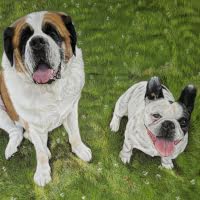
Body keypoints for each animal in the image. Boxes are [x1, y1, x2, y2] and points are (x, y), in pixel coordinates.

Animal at [0, 10, 92, 186]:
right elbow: (40, 151)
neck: (50, 90)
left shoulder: (71, 108)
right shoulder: (33, 123)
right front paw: (42, 173)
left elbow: (75, 133)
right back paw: (12, 149)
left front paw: (81, 150)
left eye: (52, 32)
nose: (36, 42)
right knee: (17, 132)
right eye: (24, 38)